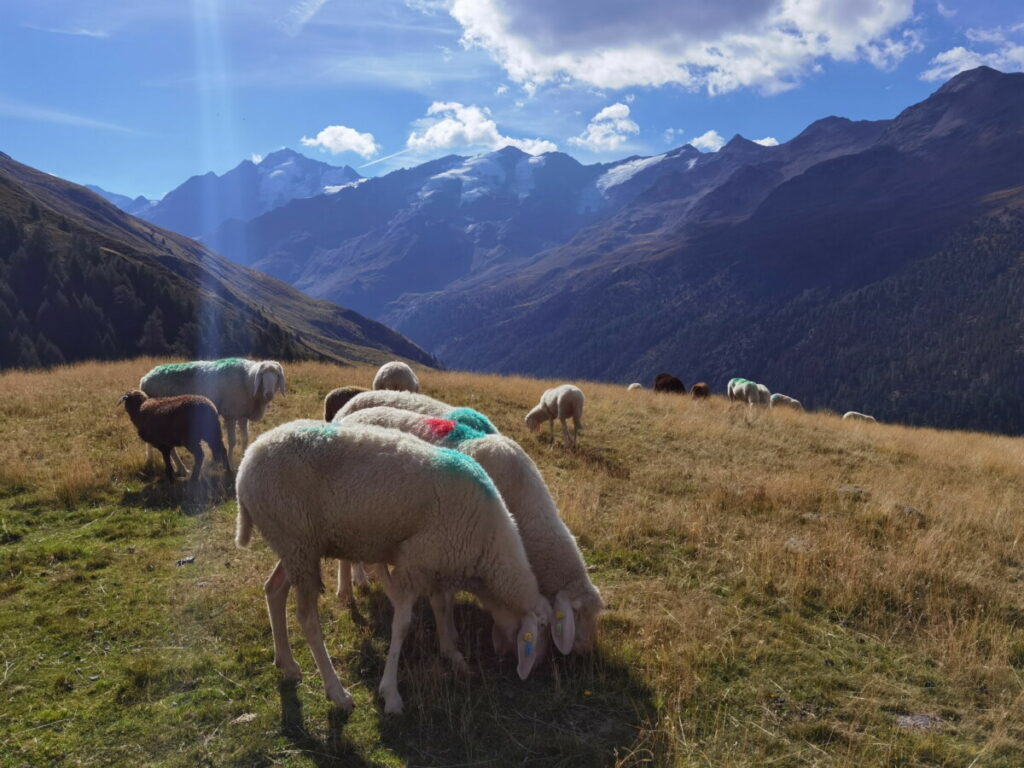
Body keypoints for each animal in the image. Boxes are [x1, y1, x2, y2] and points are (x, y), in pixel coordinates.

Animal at [138, 354, 286, 462]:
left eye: (277, 375)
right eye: (262, 376)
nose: (269, 394)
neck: (247, 380)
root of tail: (144, 380)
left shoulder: (242, 414)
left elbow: (245, 439)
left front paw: (244, 458)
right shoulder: (230, 414)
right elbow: (232, 441)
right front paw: (230, 463)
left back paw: (152, 459)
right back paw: (181, 470)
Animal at [234, 421, 552, 716]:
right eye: (540, 631)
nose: (536, 669)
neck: (488, 547)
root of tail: (246, 464)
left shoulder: (433, 562)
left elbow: (440, 606)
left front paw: (452, 653)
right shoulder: (415, 562)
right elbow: (402, 625)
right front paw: (391, 693)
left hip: (295, 544)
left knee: (273, 590)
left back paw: (286, 662)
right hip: (297, 540)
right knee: (307, 618)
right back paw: (336, 691)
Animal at [339, 405, 602, 659]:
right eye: (576, 614)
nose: (585, 653)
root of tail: (351, 415)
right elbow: (446, 595)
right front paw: (451, 633)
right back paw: (347, 591)